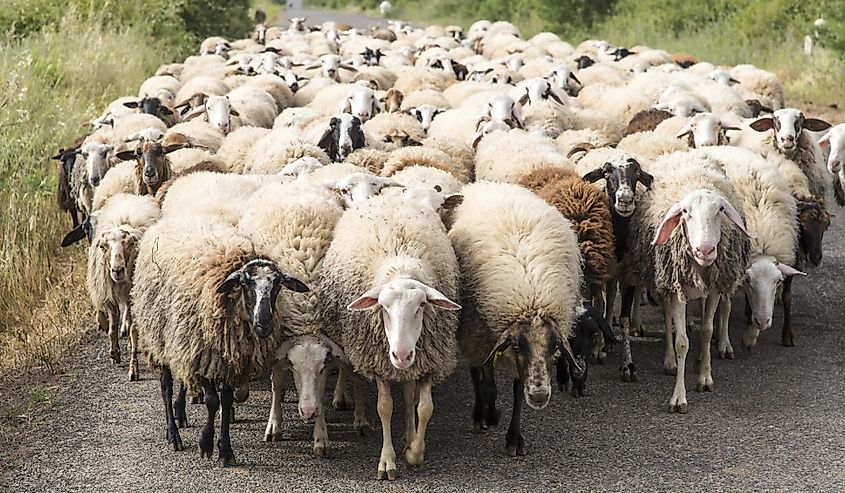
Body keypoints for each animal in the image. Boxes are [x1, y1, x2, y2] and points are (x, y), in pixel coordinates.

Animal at [88, 191, 161, 376]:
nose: (117, 270)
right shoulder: (110, 295)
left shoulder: (132, 297)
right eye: (103, 247)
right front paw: (114, 353)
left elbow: (134, 330)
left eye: (130, 244)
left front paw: (133, 367)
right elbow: (113, 328)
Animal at [135, 217, 310, 464]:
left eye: (277, 286)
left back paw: (180, 414)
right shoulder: (205, 356)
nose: (264, 323)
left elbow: (226, 402)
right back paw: (173, 434)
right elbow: (212, 401)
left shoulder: (227, 362)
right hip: (159, 339)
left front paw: (225, 450)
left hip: (181, 343)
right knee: (166, 387)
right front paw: (206, 443)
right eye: (245, 284)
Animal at [318, 194, 462, 478]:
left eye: (421, 305)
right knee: (353, 375)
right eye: (383, 307)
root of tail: (389, 196)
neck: (401, 266)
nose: (401, 354)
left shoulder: (428, 362)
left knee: (408, 395)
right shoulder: (379, 363)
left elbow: (424, 408)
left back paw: (408, 434)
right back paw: (356, 413)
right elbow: (385, 408)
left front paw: (414, 452)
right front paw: (388, 461)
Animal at [452, 183, 584, 456]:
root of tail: (489, 185)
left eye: (555, 346)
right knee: (476, 371)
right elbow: (487, 377)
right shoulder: (484, 335)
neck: (530, 297)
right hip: (473, 332)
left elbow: (516, 390)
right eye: (516, 344)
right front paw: (490, 413)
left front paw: (514, 438)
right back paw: (482, 413)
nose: (540, 396)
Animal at [628, 151, 752, 412]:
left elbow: (706, 330)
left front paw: (705, 377)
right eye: (685, 212)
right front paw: (679, 396)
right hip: (666, 283)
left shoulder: (714, 289)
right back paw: (670, 361)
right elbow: (682, 342)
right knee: (667, 320)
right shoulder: (678, 291)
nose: (705, 250)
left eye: (721, 209)